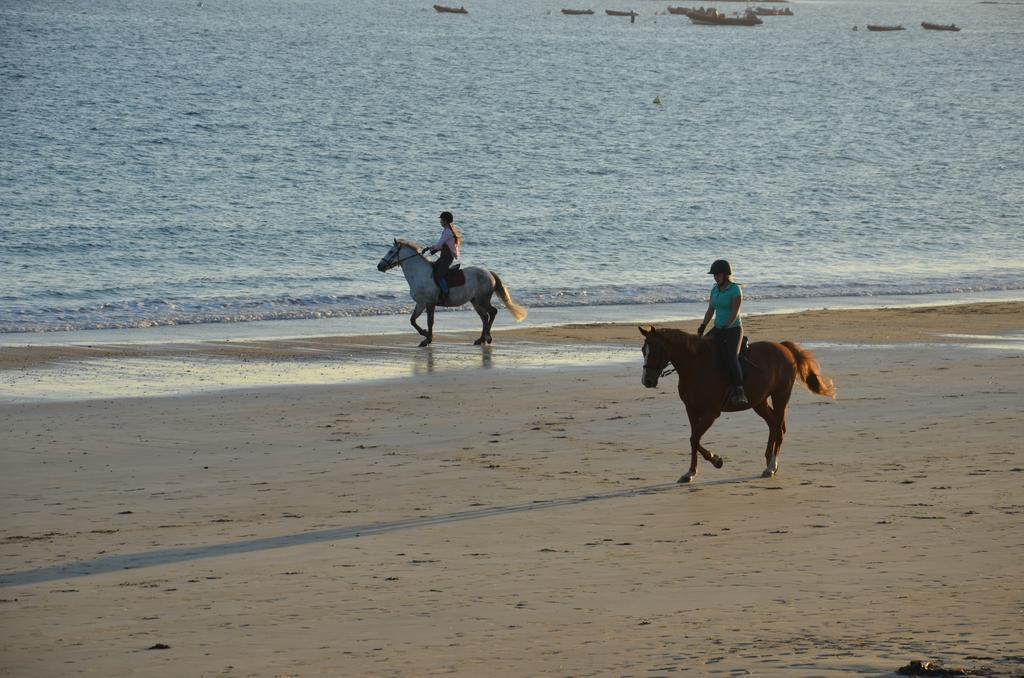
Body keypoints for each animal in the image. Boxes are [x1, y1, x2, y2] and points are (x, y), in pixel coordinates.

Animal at [376, 238, 528, 348]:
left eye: (391, 252)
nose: (379, 266)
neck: (420, 274)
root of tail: (488, 273)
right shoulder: (421, 303)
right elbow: (413, 320)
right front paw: (425, 335)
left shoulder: (430, 303)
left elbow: (429, 321)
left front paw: (427, 339)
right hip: (475, 301)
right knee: (485, 317)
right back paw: (480, 339)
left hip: (482, 299)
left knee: (492, 312)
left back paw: (488, 338)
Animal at [638, 327, 831, 483]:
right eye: (642, 350)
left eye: (655, 350)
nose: (647, 381)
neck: (695, 366)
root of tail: (783, 347)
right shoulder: (691, 410)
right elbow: (694, 440)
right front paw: (690, 472)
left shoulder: (711, 413)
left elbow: (694, 439)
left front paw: (716, 460)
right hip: (759, 401)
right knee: (773, 425)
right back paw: (769, 462)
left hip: (780, 396)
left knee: (779, 428)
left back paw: (772, 466)